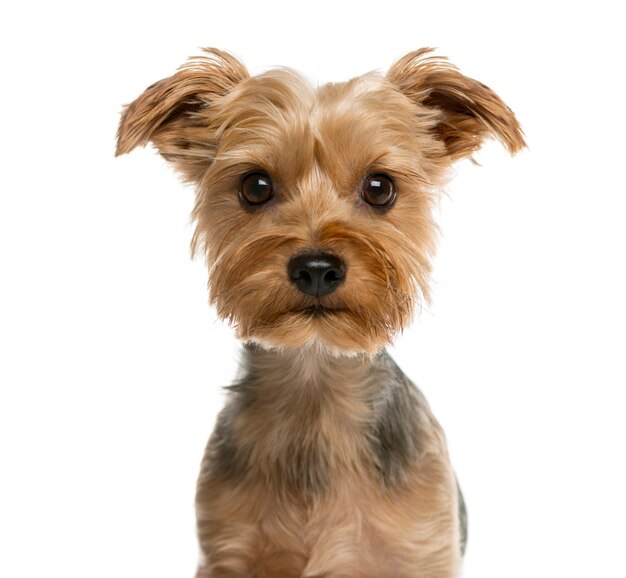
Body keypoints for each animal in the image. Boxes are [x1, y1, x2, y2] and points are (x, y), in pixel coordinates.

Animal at [116, 48, 520, 576]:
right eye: (255, 185)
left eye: (380, 187)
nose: (316, 269)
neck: (316, 385)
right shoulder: (227, 548)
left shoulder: (422, 546)